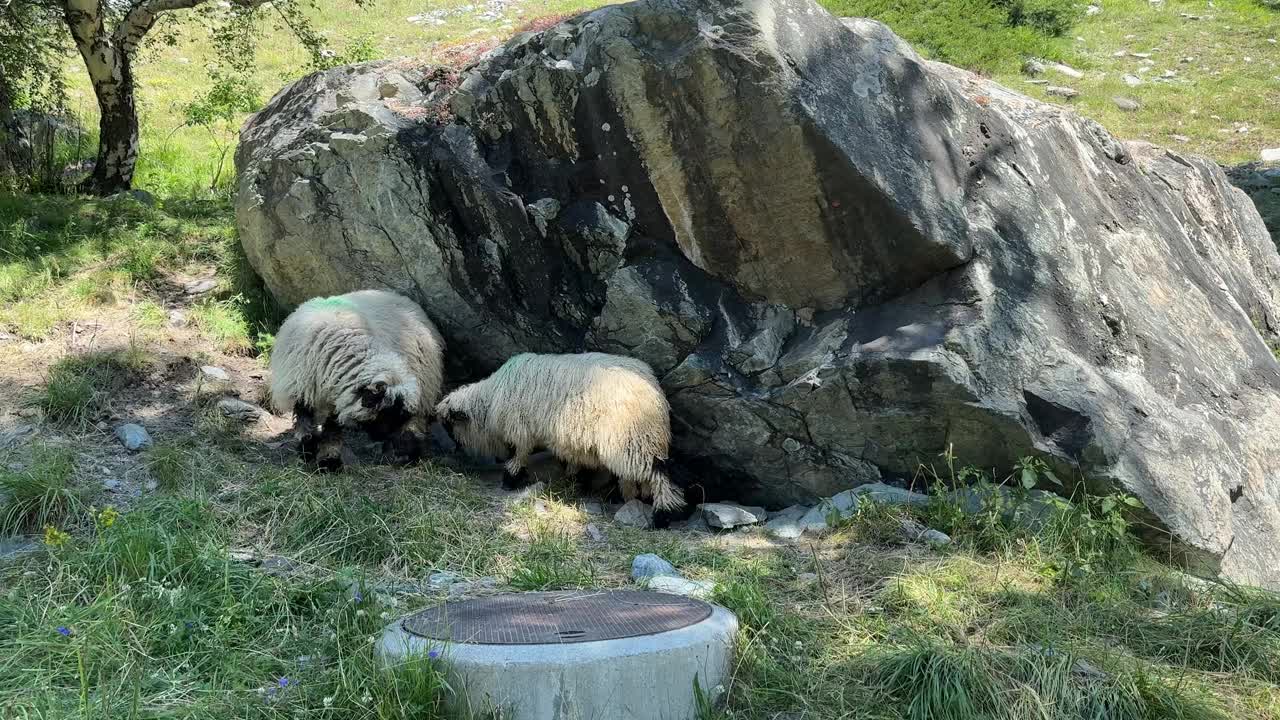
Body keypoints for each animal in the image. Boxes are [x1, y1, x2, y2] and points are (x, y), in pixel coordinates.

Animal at [268, 288, 445, 468]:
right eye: (385, 411)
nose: (381, 437)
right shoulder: (303, 391)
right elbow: (306, 426)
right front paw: (307, 452)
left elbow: (331, 429)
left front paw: (329, 461)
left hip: (423, 379)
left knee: (416, 421)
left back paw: (407, 454)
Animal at [435, 348, 686, 507]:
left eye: (450, 426)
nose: (455, 450)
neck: (491, 397)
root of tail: (655, 392)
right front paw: (576, 480)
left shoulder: (521, 430)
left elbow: (518, 456)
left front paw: (510, 480)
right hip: (637, 441)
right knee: (633, 477)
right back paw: (631, 498)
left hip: (633, 440)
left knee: (657, 475)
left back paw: (663, 514)